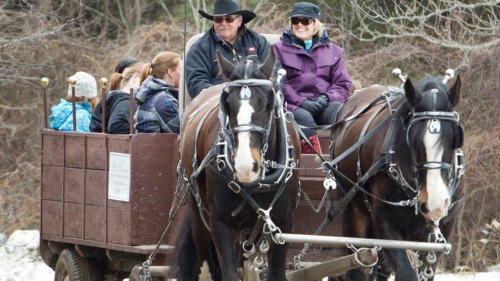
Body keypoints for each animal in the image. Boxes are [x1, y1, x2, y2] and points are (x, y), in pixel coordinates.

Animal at [170, 49, 298, 278]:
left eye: (268, 104)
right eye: (227, 105)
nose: (245, 166)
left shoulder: (284, 223)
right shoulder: (220, 224)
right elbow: (228, 272)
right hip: (199, 217)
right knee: (206, 265)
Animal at [330, 75, 466, 278]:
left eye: (453, 139)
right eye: (414, 140)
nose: (434, 204)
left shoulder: (442, 230)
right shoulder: (386, 225)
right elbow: (406, 273)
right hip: (353, 210)